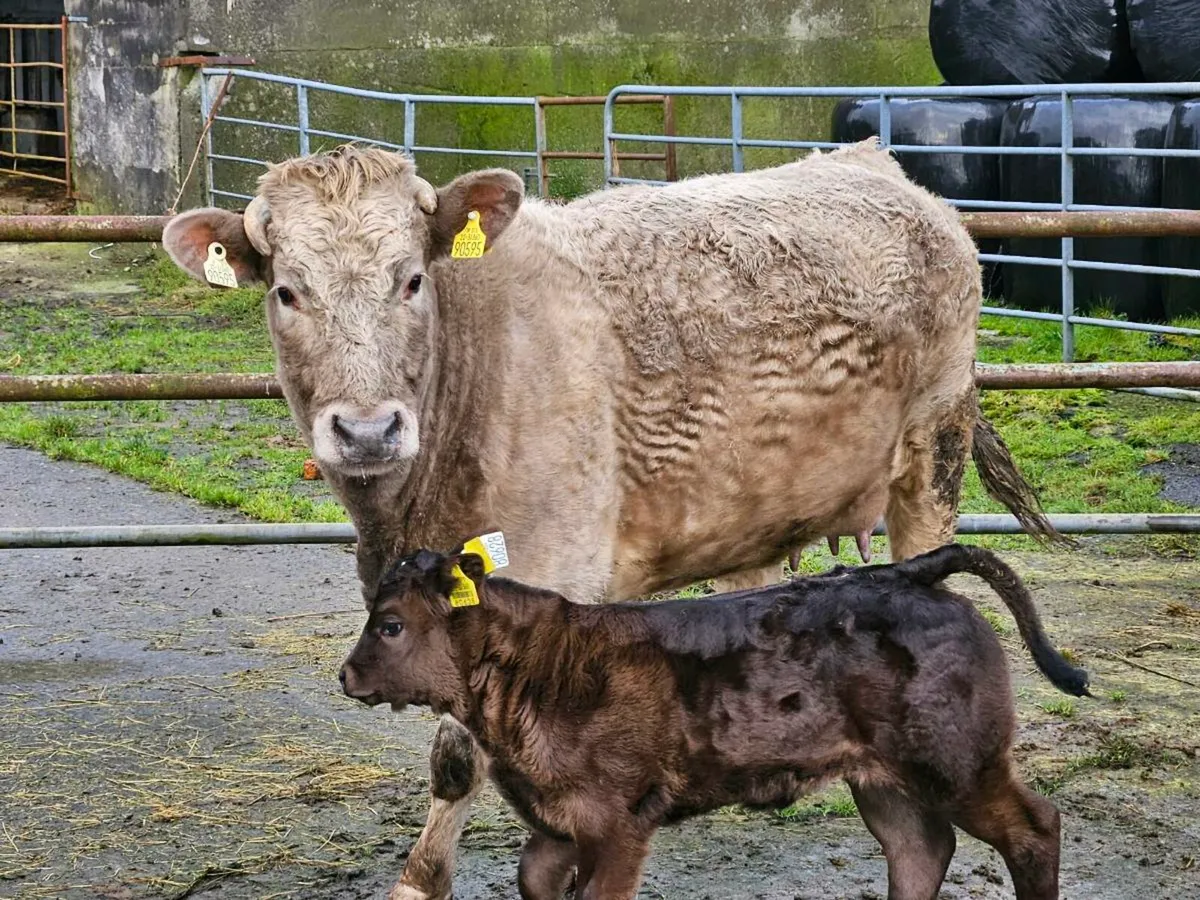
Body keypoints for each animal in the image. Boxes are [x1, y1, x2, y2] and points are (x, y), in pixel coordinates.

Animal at [340, 542, 1089, 900]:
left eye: (391, 624)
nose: (345, 675)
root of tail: (903, 573)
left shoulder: (619, 821)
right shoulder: (558, 821)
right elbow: (533, 881)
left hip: (957, 761)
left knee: (1034, 830)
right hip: (884, 778)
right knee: (919, 851)